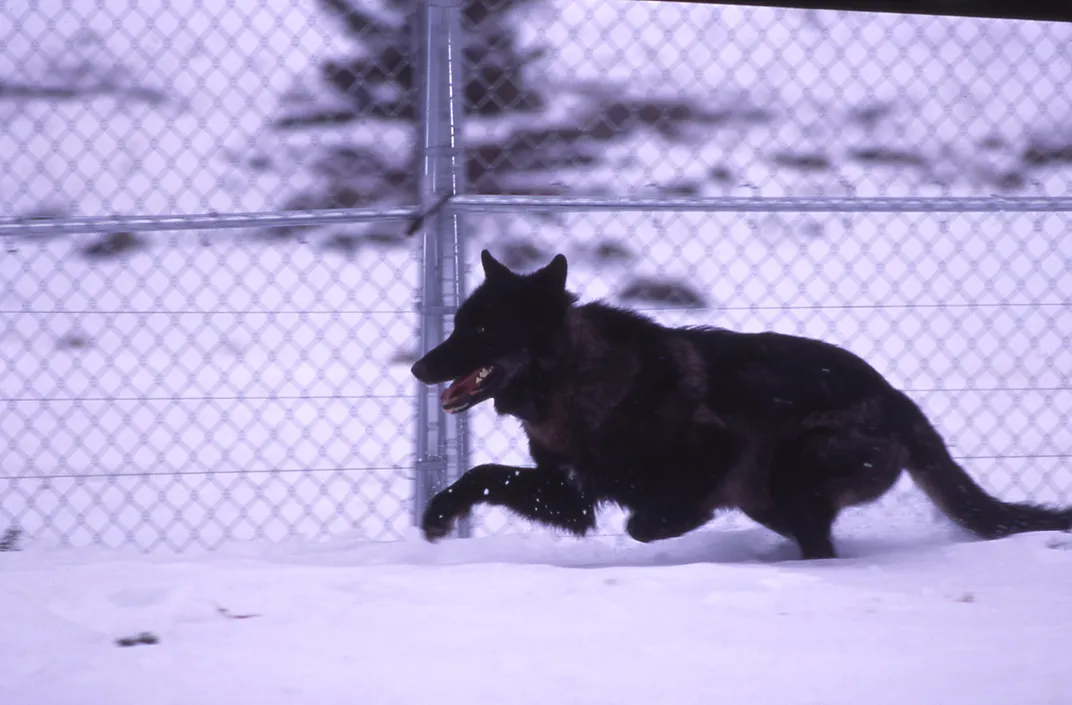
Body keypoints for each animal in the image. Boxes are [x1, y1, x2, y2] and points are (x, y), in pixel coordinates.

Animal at [410, 250, 1072, 559]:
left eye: (480, 330)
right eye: (459, 324)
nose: (418, 367)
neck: (573, 375)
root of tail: (900, 401)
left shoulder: (717, 452)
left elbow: (648, 520)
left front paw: (675, 523)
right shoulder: (571, 495)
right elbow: (483, 473)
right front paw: (439, 514)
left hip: (790, 476)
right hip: (774, 498)